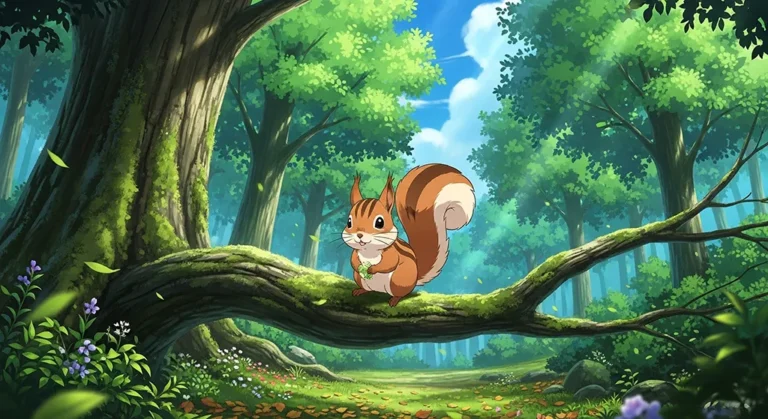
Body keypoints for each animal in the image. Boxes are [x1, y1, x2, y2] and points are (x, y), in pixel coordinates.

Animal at [342, 163, 476, 307]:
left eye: (379, 222)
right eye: (349, 222)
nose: (359, 235)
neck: (369, 251)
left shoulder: (391, 253)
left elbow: (389, 263)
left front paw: (372, 269)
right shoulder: (356, 252)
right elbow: (353, 260)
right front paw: (358, 266)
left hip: (398, 280)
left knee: (400, 293)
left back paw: (394, 300)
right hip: (359, 278)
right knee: (367, 288)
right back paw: (360, 291)